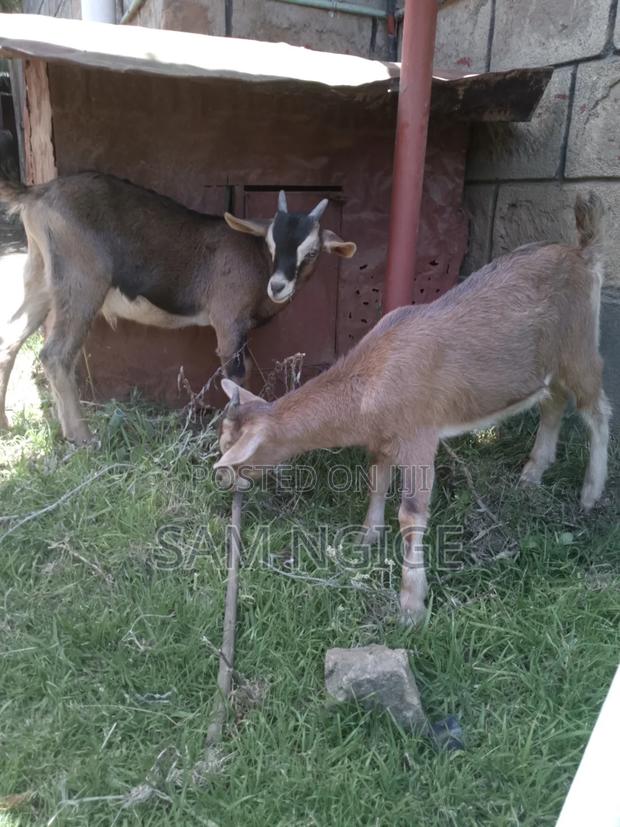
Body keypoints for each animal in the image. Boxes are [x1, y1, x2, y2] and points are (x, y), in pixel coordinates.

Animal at [0, 173, 356, 442]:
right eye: (270, 244)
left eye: (312, 252)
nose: (278, 286)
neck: (253, 259)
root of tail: (36, 193)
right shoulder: (228, 317)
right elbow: (236, 374)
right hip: (82, 280)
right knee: (55, 355)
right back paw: (82, 438)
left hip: (40, 276)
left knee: (10, 340)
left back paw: (6, 426)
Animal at [215, 192, 614, 625]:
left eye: (233, 452)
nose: (221, 480)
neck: (373, 378)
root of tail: (585, 252)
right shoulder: (383, 438)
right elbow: (376, 480)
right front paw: (366, 538)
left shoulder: (421, 435)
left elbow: (410, 513)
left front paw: (411, 605)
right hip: (549, 363)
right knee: (554, 402)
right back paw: (532, 473)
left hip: (578, 346)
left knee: (596, 409)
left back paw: (590, 493)